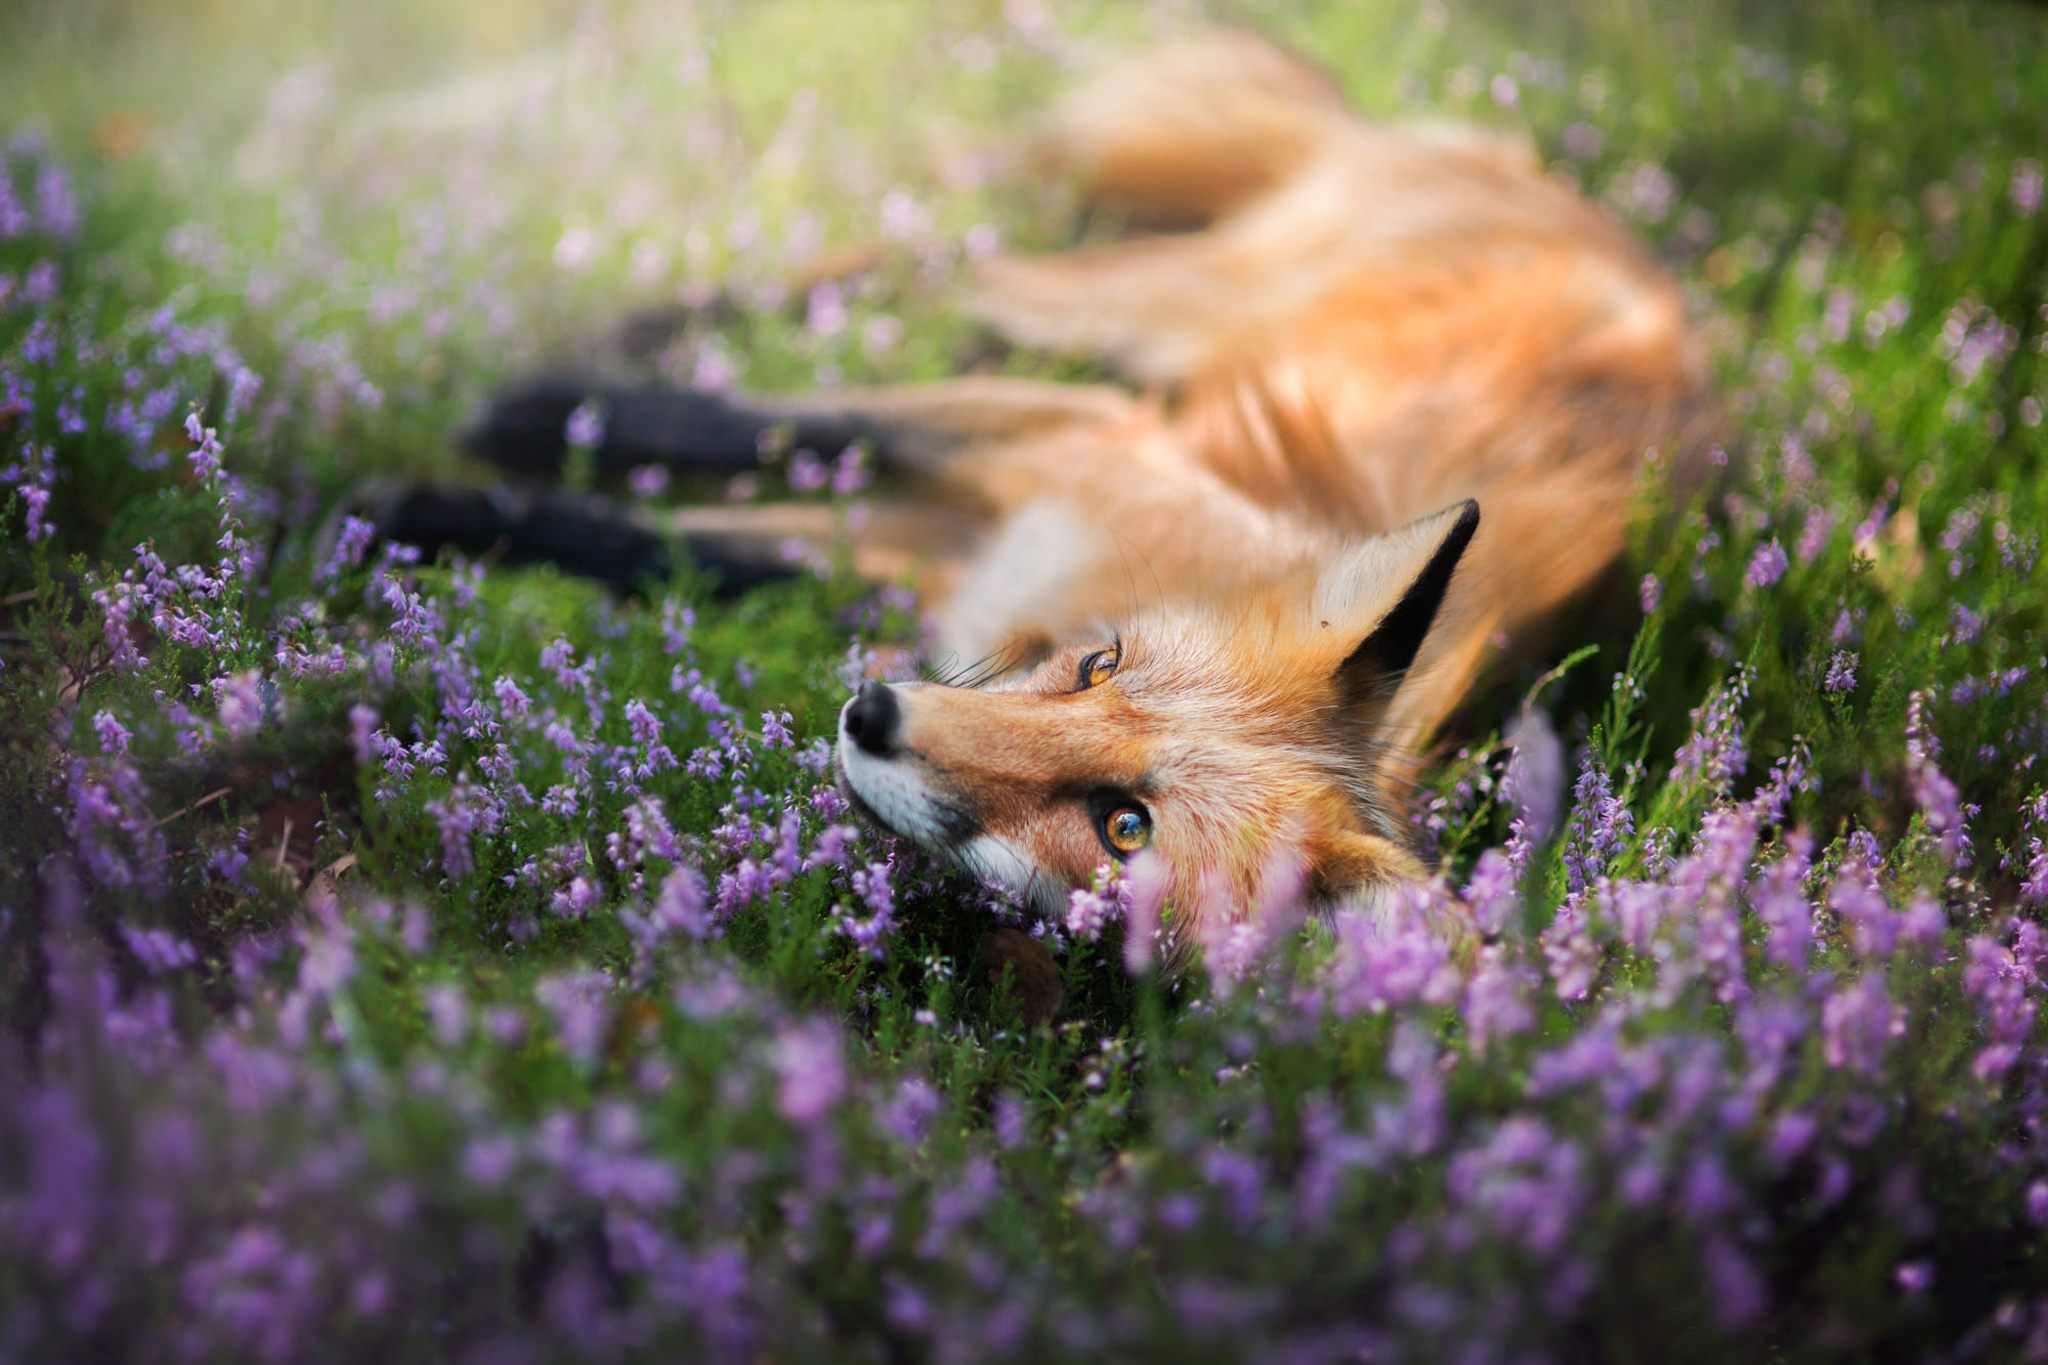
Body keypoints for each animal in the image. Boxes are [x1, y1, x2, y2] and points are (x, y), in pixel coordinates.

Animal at [376, 31, 1720, 961]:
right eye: (1098, 667)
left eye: (1121, 828)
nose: (870, 713)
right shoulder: (1069, 441)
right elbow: (785, 424)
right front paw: (492, 452)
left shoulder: (946, 547)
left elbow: (683, 547)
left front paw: (459, 509)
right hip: (1134, 314)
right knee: (952, 257)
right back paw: (633, 334)